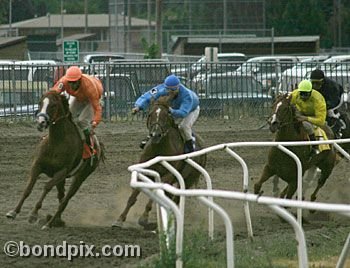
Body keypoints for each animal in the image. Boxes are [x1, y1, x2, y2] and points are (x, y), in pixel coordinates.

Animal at [5, 90, 104, 228]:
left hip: (81, 176)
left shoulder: (61, 172)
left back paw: (50, 223)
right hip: (62, 180)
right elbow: (28, 188)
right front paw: (13, 212)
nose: (40, 122)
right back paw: (57, 221)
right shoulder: (37, 166)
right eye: (40, 102)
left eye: (53, 105)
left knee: (66, 199)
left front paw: (33, 214)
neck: (56, 142)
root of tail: (99, 146)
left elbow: (47, 186)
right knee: (61, 196)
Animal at [115, 94, 206, 228]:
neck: (158, 149)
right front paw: (120, 219)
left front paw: (144, 218)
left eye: (166, 115)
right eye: (150, 114)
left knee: (176, 198)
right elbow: (133, 196)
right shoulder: (143, 171)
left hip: (188, 180)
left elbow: (156, 193)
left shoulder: (167, 176)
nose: (155, 135)